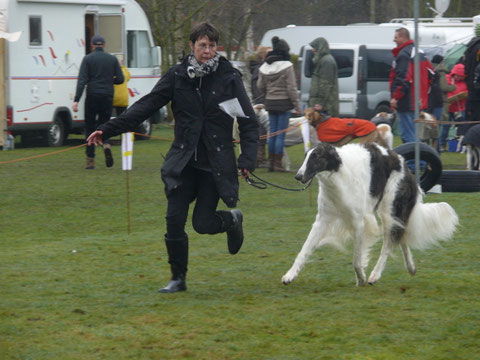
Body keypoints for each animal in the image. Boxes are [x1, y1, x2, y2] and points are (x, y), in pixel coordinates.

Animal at [282, 142, 458, 286]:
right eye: (306, 156)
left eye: (316, 156)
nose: (298, 176)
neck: (338, 175)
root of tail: (404, 163)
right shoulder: (323, 220)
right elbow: (304, 250)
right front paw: (289, 275)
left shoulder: (359, 222)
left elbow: (356, 260)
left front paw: (361, 278)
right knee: (400, 236)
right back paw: (411, 267)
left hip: (389, 209)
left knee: (389, 243)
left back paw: (375, 275)